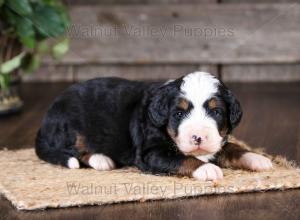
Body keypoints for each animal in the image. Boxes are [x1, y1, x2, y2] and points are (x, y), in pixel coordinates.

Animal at [35, 72, 272, 180]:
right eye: (178, 114)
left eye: (216, 112)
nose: (197, 137)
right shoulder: (151, 153)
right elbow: (183, 158)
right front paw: (207, 169)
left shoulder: (217, 142)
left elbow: (233, 147)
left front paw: (258, 158)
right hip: (70, 126)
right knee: (74, 150)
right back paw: (101, 159)